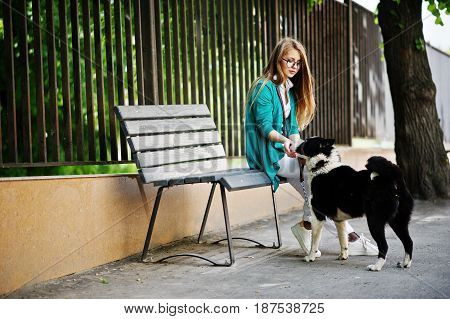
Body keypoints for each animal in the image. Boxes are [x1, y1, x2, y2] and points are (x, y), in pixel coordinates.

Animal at [296, 138, 414, 272]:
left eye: (306, 142)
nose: (295, 145)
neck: (323, 164)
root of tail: (394, 177)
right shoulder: (339, 220)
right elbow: (343, 239)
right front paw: (343, 256)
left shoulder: (318, 217)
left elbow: (314, 241)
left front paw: (310, 257)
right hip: (398, 222)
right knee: (408, 242)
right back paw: (405, 263)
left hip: (375, 222)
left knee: (384, 246)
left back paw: (376, 266)